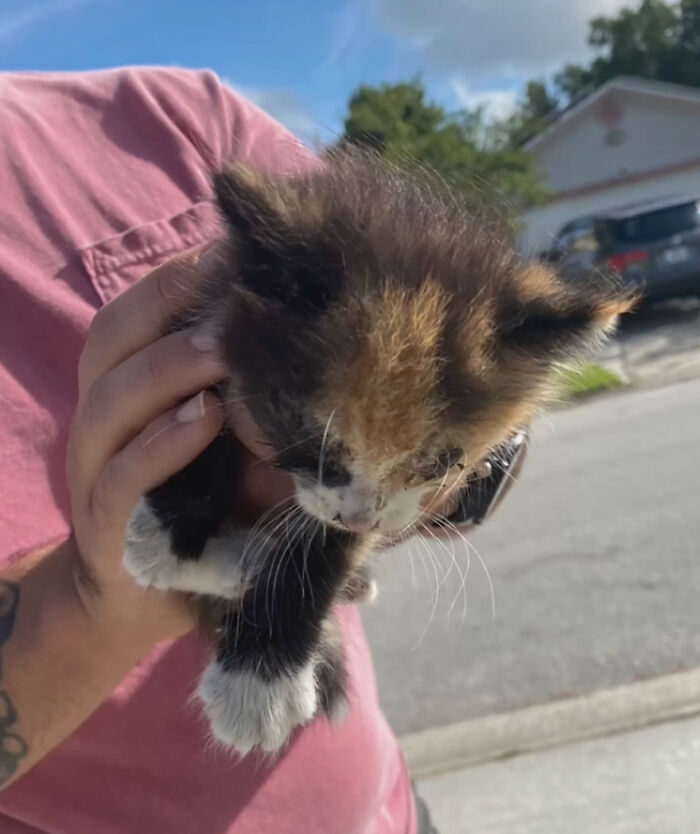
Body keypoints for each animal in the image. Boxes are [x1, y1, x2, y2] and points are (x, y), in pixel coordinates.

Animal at [121, 148, 636, 752]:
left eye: (440, 462)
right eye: (304, 431)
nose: (359, 516)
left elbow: (323, 543)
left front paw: (258, 682)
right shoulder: (200, 318)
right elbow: (194, 425)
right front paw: (179, 543)